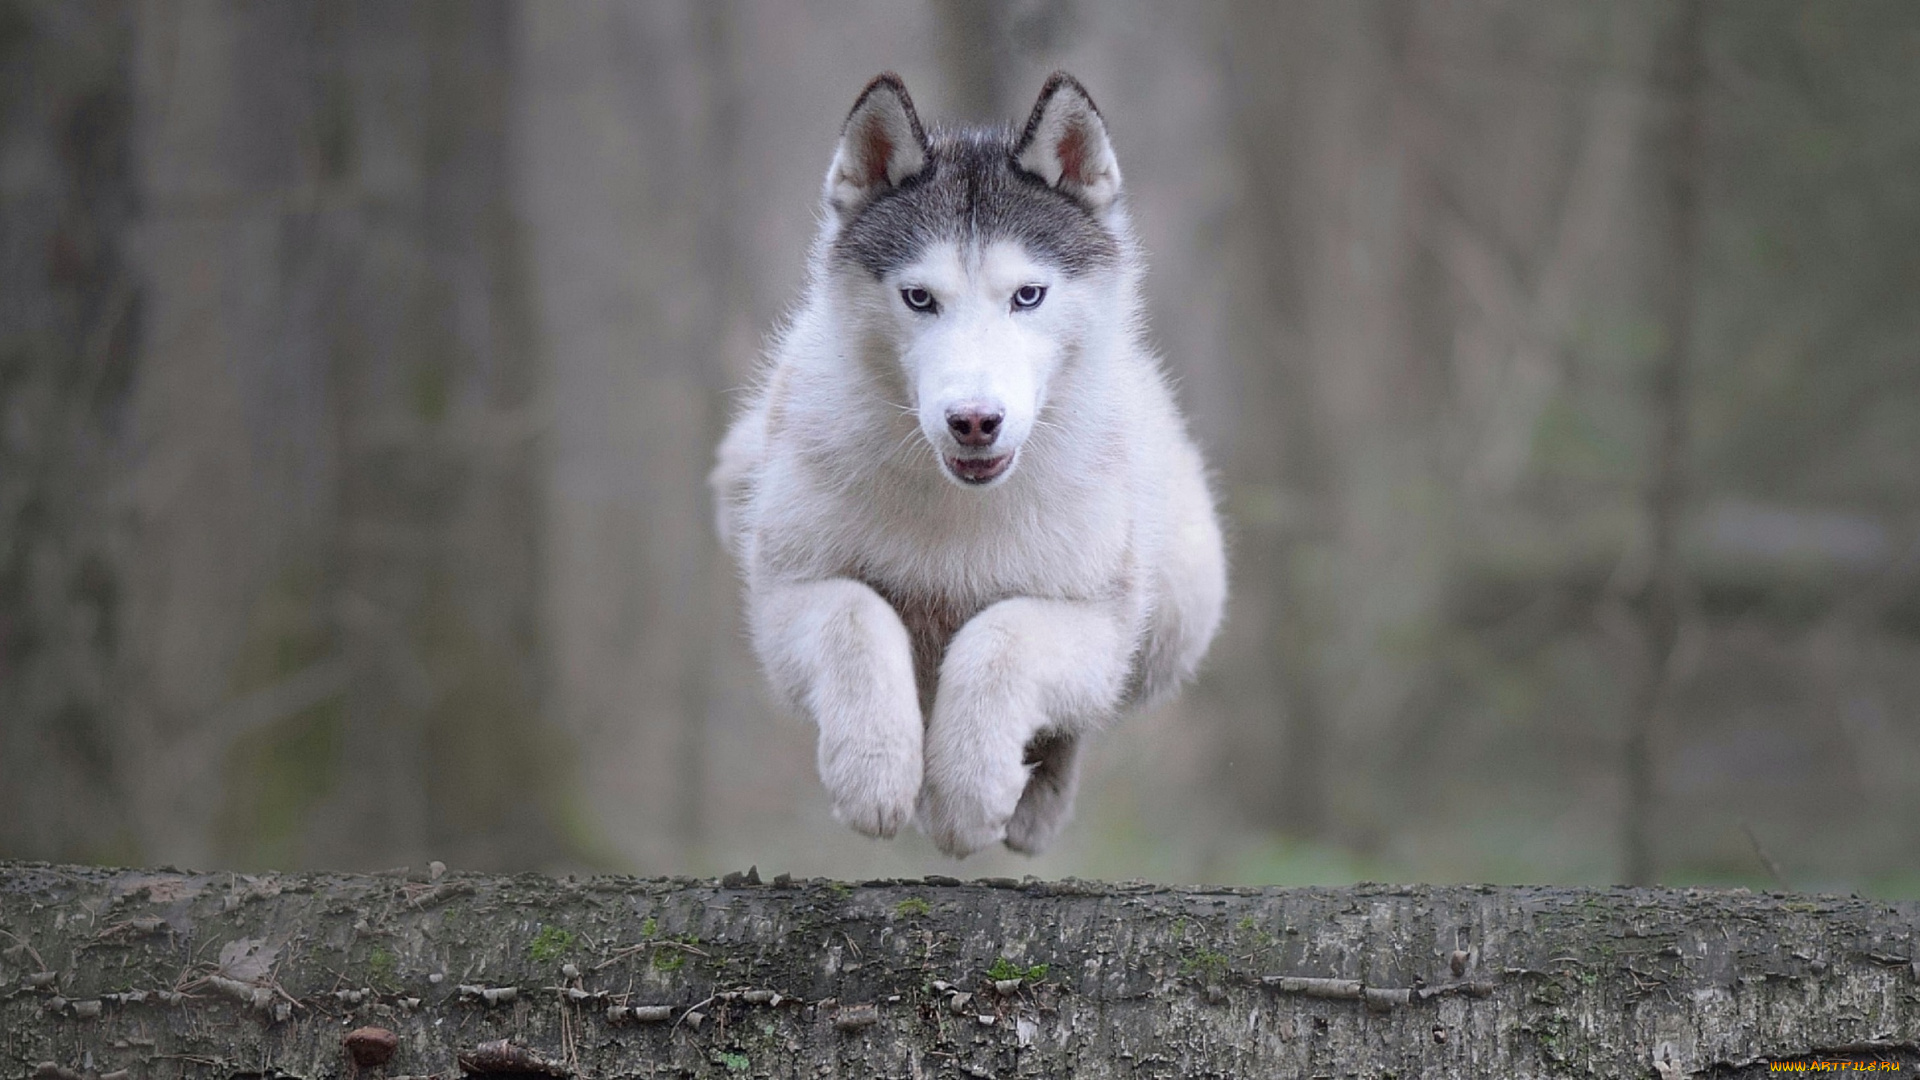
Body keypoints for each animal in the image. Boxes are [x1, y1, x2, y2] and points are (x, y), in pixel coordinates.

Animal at [710, 71, 1228, 853]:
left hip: (1178, 608)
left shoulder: (1098, 620)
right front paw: (875, 772)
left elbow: (1000, 636)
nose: (975, 422)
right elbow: (857, 615)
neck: (957, 508)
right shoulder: (785, 595)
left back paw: (1036, 804)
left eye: (1028, 295)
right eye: (919, 297)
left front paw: (967, 792)